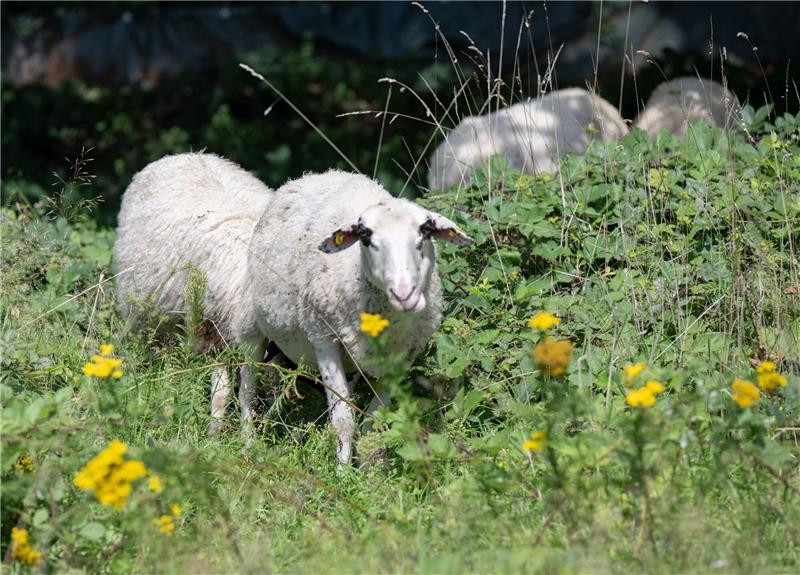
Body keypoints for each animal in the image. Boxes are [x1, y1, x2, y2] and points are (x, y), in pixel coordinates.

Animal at [115, 155, 472, 466]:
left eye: (425, 233)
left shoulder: (400, 360)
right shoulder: (319, 340)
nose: (404, 294)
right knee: (241, 389)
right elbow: (341, 420)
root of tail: (185, 154)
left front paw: (372, 471)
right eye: (366, 237)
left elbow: (374, 423)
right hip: (179, 321)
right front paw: (342, 477)